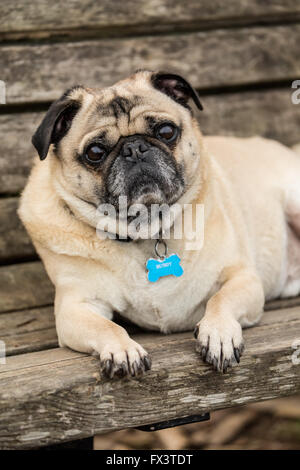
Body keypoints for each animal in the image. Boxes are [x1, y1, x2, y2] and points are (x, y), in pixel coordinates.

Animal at [18, 70, 300, 378]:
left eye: (166, 131)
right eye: (94, 152)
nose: (133, 148)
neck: (147, 229)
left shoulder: (242, 277)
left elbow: (221, 299)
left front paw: (219, 333)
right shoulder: (75, 306)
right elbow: (106, 326)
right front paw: (122, 349)